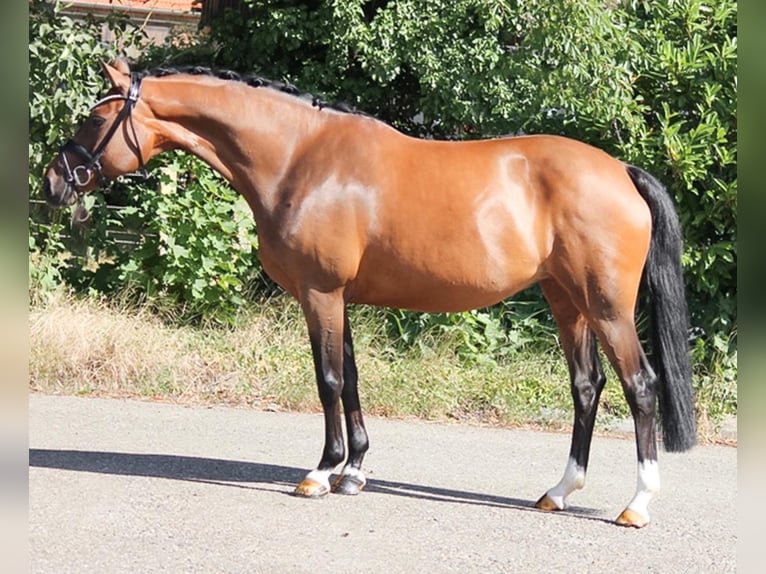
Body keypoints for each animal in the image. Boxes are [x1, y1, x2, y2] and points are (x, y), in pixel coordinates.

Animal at [45, 60, 700, 528]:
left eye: (94, 121)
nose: (54, 181)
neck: (299, 159)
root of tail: (620, 171)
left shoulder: (320, 292)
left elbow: (328, 380)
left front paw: (320, 472)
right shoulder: (339, 296)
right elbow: (352, 378)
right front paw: (354, 471)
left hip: (608, 307)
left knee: (640, 387)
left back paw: (637, 505)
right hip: (568, 302)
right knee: (587, 387)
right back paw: (559, 492)